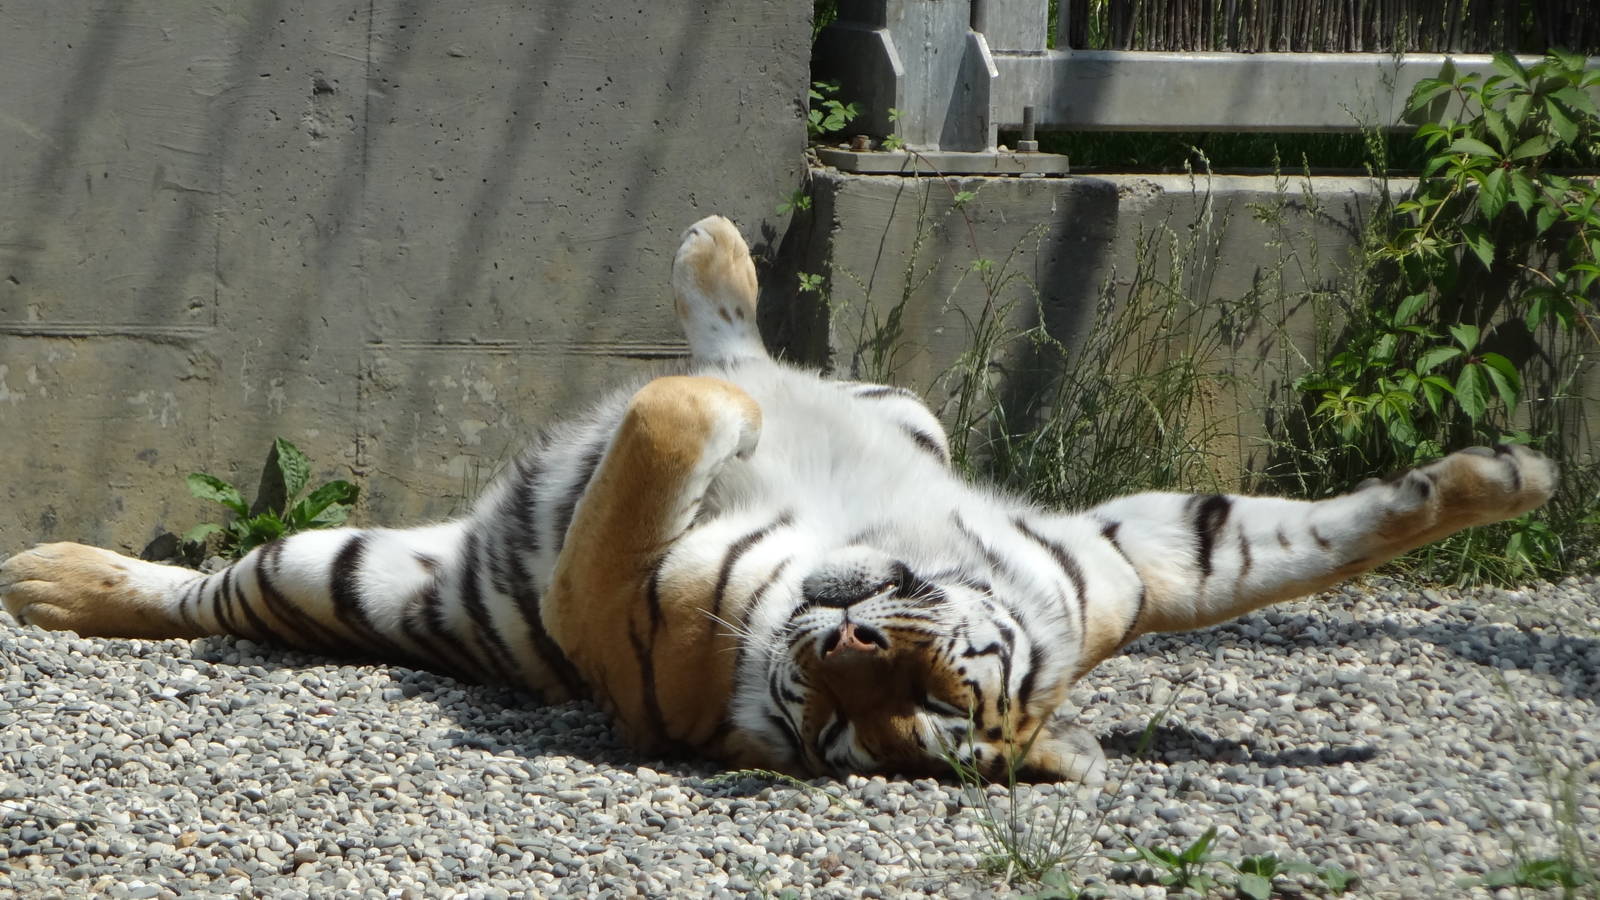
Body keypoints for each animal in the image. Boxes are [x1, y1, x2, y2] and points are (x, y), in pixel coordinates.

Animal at [0, 215, 1557, 784]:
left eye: (905, 716)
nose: (855, 639)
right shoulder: (1125, 561)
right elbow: (1286, 551)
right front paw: (1503, 475)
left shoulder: (612, 613)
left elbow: (672, 426)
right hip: (910, 405)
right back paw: (723, 272)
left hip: (343, 572)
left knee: (219, 591)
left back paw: (43, 581)